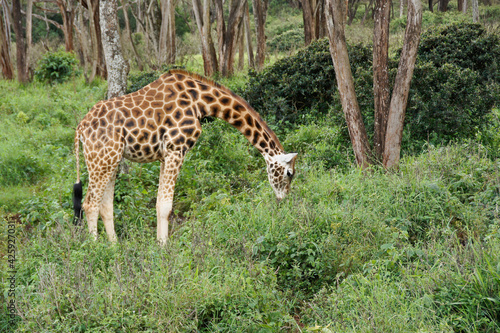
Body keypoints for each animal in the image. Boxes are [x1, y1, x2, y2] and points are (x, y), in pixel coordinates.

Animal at [72, 68, 294, 243]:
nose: (283, 201)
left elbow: (159, 203)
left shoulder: (165, 155)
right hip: (102, 160)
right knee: (89, 204)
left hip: (111, 160)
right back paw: (97, 250)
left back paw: (115, 247)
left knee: (105, 206)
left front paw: (159, 244)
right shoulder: (176, 149)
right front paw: (163, 249)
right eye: (289, 173)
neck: (201, 101)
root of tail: (80, 128)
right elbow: (165, 205)